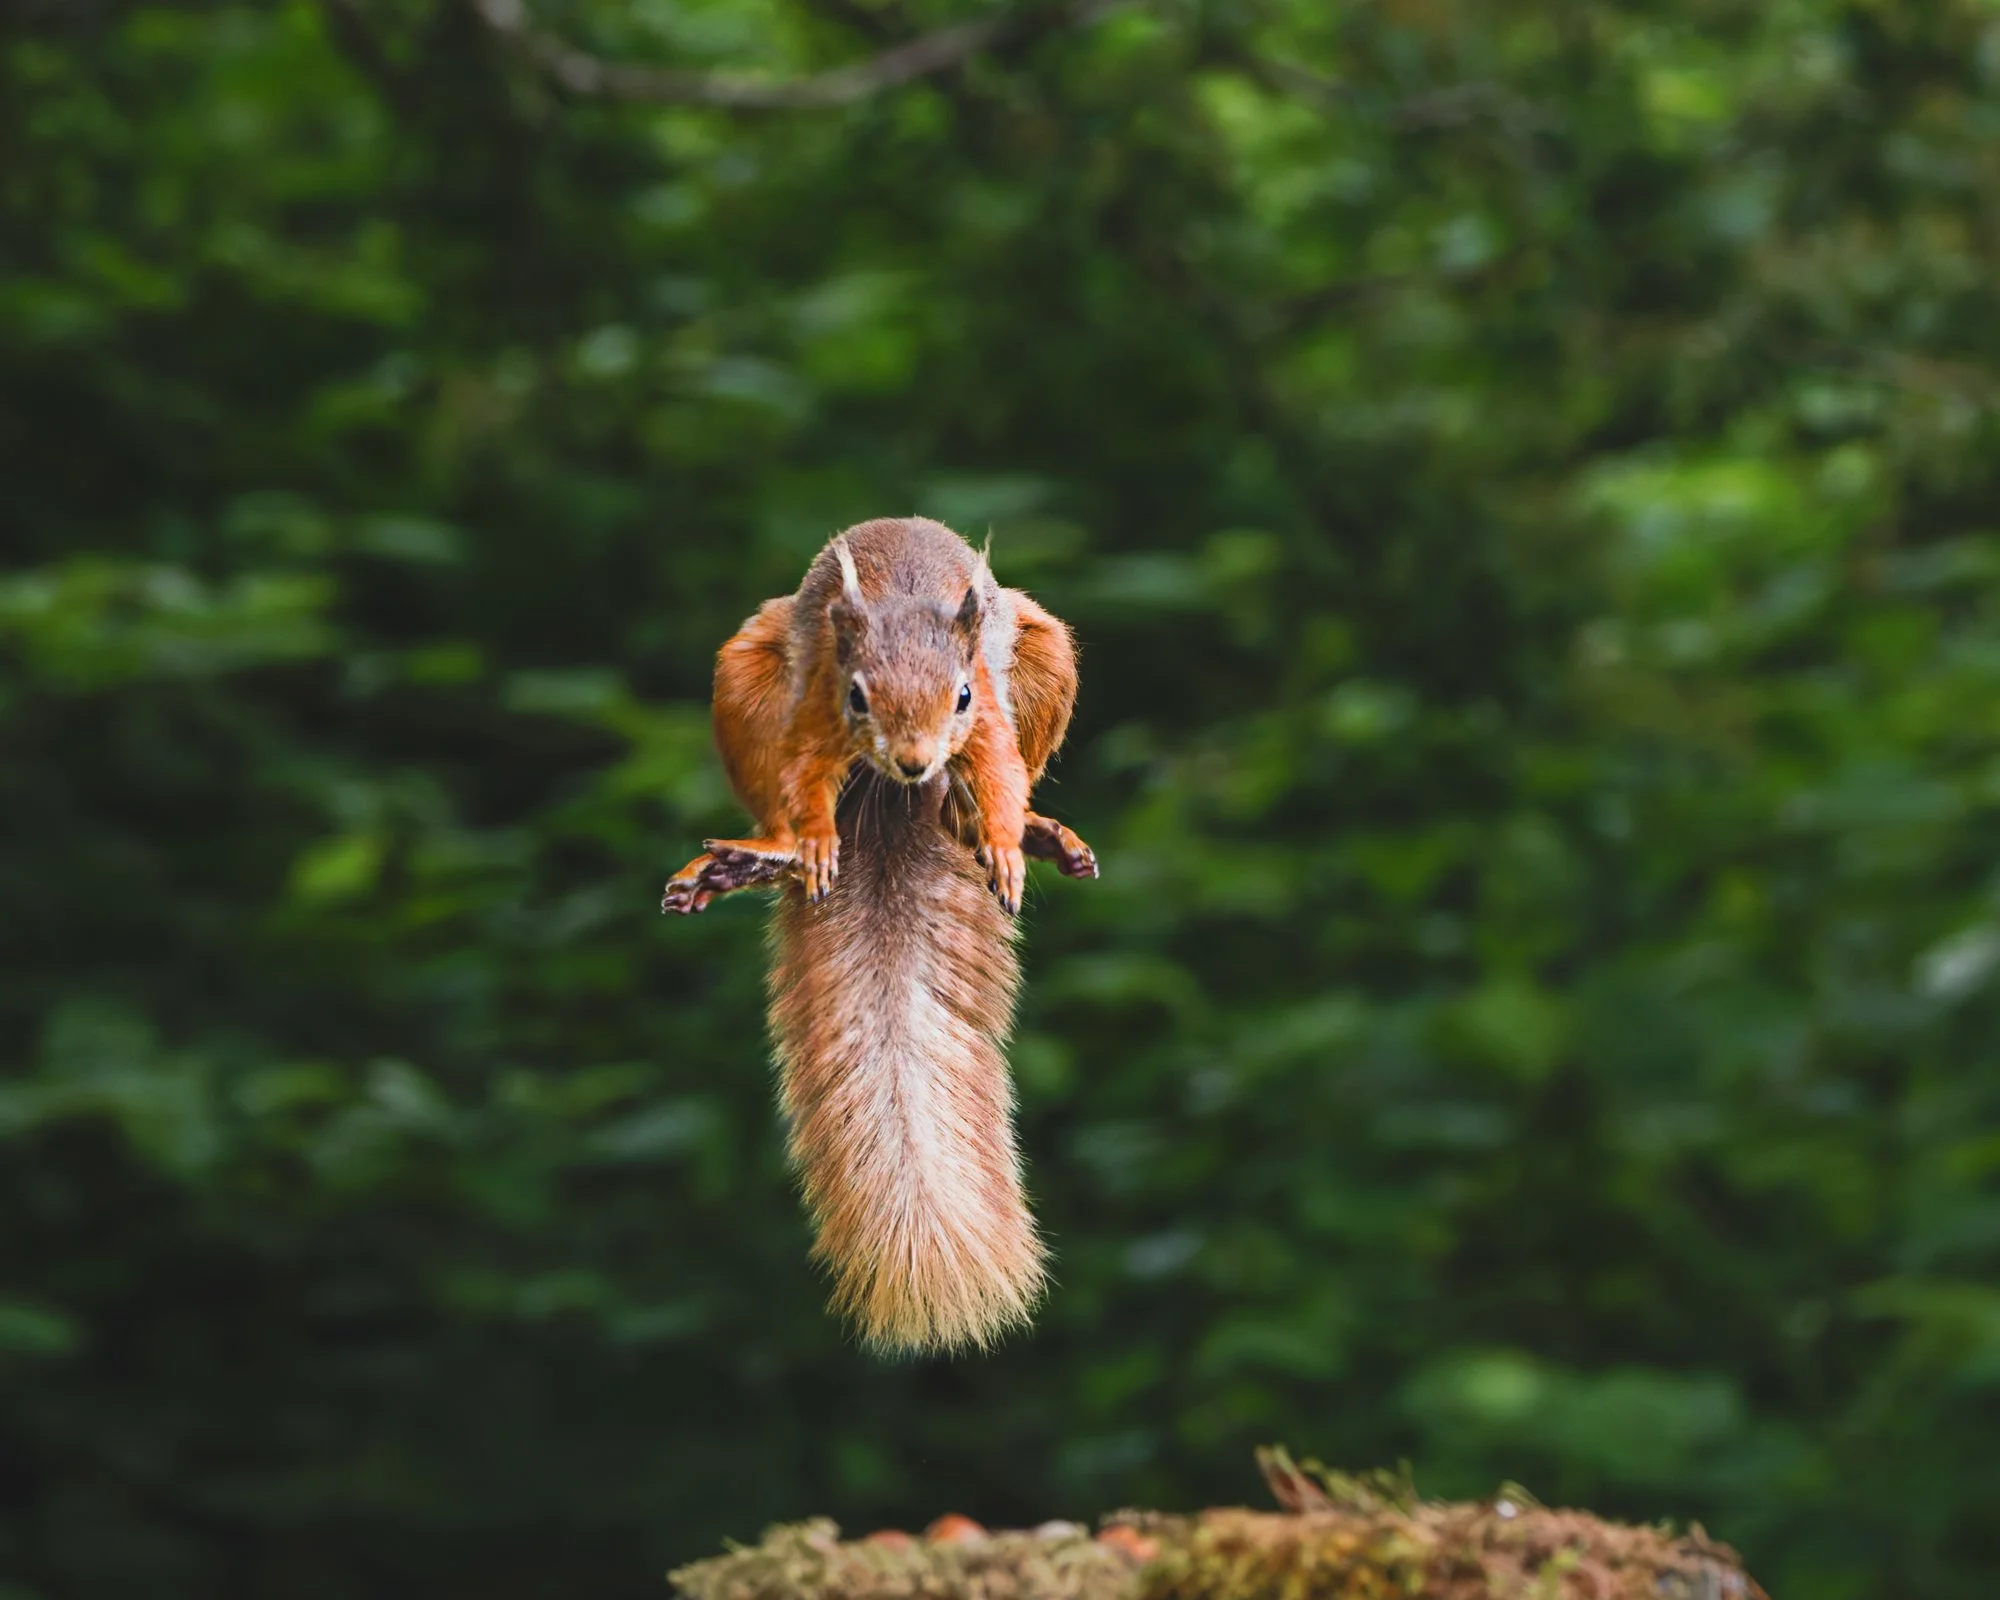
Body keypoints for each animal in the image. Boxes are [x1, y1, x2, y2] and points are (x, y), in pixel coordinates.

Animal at [660, 517, 1097, 1354]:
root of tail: (898, 797)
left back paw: (1015, 827)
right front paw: (813, 843)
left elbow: (999, 768)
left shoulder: (987, 710)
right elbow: (801, 775)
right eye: (859, 694)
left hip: (1049, 652)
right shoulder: (817, 702)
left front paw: (1002, 836)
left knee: (999, 780)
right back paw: (767, 852)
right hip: (744, 674)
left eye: (960, 694)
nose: (915, 759)